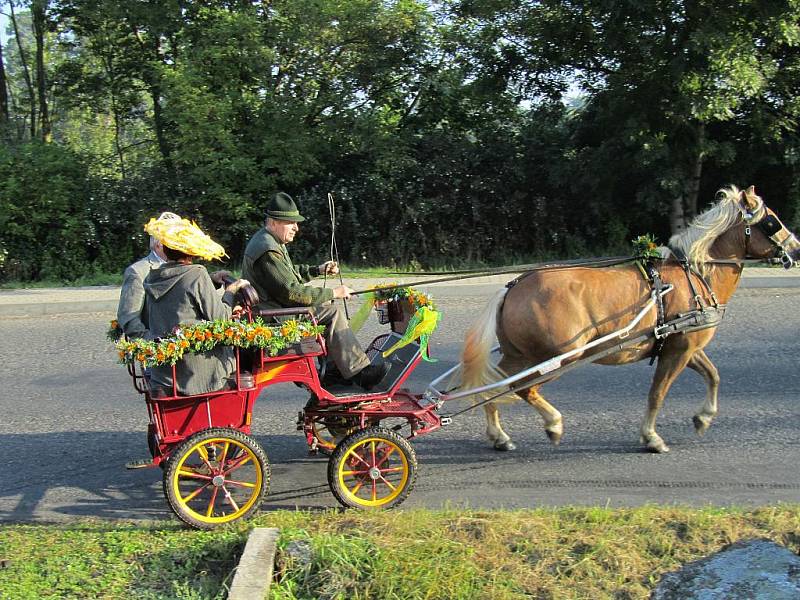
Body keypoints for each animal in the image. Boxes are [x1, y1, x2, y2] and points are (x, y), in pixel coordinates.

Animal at [460, 185, 800, 452]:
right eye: (772, 221)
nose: (796, 248)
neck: (694, 274)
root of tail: (513, 286)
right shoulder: (679, 350)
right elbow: (657, 393)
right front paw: (651, 437)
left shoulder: (686, 345)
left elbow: (713, 375)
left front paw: (703, 418)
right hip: (557, 356)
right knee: (522, 389)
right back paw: (553, 424)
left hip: (521, 355)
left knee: (493, 385)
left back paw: (499, 436)